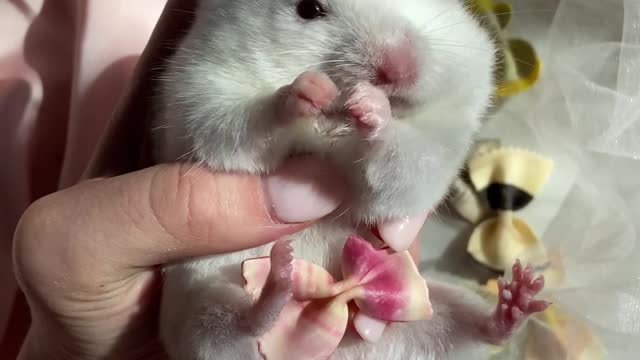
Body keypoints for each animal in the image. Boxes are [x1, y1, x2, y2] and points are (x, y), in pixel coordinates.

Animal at [152, 0, 548, 360]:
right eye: (309, 9)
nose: (399, 70)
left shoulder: (430, 155)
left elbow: (405, 166)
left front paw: (371, 106)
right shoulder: (199, 93)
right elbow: (245, 120)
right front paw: (308, 90)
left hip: (439, 310)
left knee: (477, 330)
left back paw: (520, 296)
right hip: (198, 307)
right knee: (235, 325)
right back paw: (278, 280)